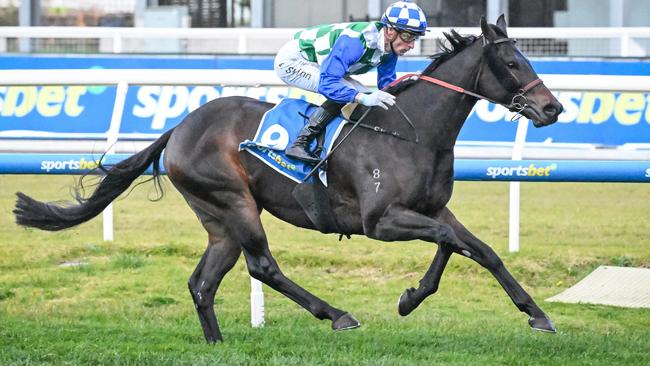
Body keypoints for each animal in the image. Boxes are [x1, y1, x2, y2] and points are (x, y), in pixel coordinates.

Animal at [15, 16, 560, 344]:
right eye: (512, 63)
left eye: (528, 59)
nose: (553, 108)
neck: (413, 133)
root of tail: (180, 127)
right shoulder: (381, 222)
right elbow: (451, 241)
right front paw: (410, 299)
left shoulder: (430, 208)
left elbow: (477, 249)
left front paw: (535, 313)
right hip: (234, 202)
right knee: (262, 267)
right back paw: (336, 314)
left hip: (219, 220)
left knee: (202, 282)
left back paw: (216, 343)